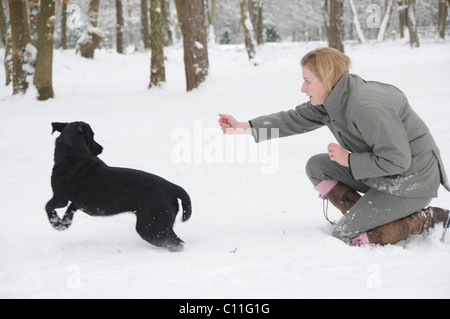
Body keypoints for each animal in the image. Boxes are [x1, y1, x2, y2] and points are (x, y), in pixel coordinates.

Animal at [45, 122, 192, 252]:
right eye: (92, 136)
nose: (101, 148)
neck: (73, 153)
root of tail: (172, 187)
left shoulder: (60, 198)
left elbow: (48, 207)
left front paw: (56, 222)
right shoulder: (75, 202)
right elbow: (69, 210)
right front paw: (64, 222)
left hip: (149, 226)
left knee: (174, 244)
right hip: (162, 224)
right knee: (177, 241)